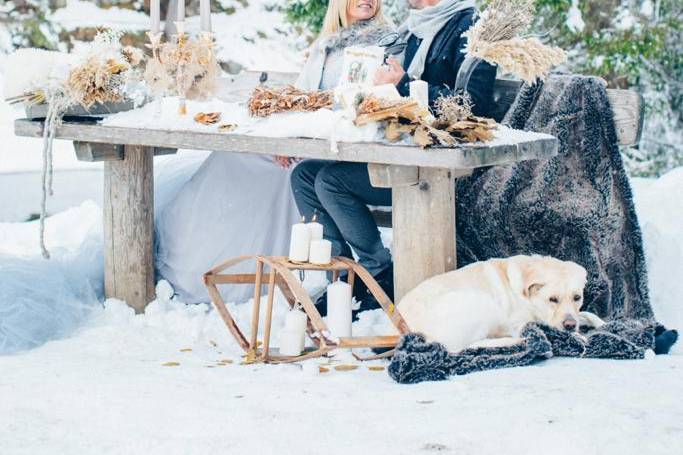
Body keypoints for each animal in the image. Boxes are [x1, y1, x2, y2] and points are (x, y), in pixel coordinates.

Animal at [398, 256, 596, 352]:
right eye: (553, 299)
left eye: (577, 297)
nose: (570, 325)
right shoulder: (518, 323)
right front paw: (578, 336)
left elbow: (588, 314)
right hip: (481, 301)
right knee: (466, 346)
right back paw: (513, 341)